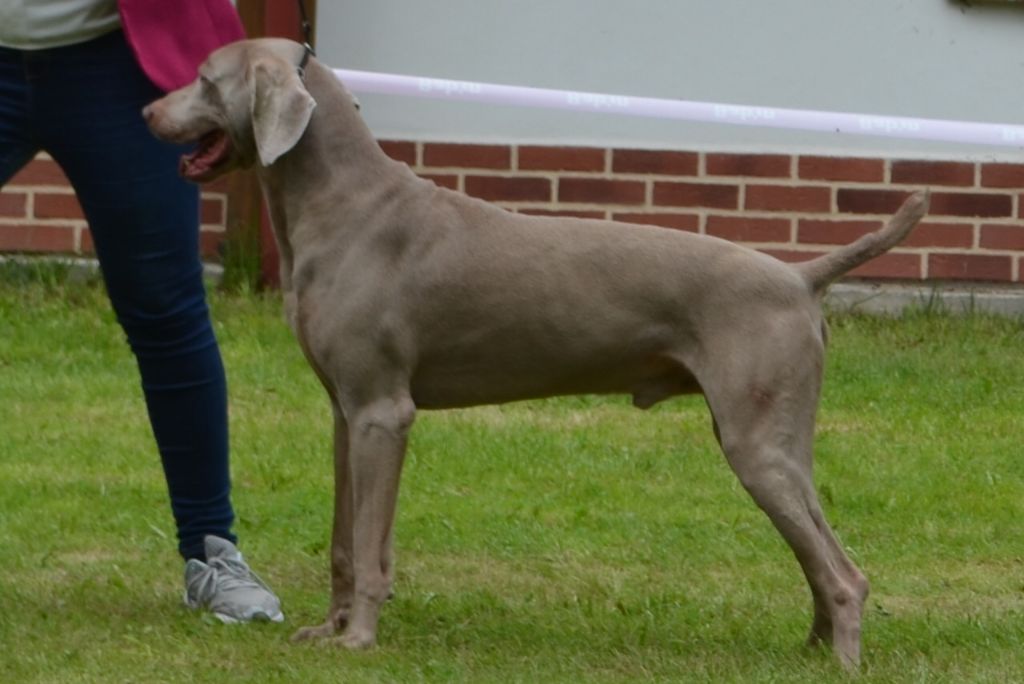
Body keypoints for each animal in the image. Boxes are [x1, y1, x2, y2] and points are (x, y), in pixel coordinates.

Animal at [146, 37, 929, 667]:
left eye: (204, 77)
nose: (149, 111)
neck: (344, 203)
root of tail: (800, 275)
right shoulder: (347, 412)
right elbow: (348, 538)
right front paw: (329, 629)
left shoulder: (382, 412)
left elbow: (367, 545)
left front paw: (359, 640)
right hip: (775, 440)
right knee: (820, 555)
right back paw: (812, 649)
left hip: (757, 441)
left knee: (842, 572)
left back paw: (842, 660)